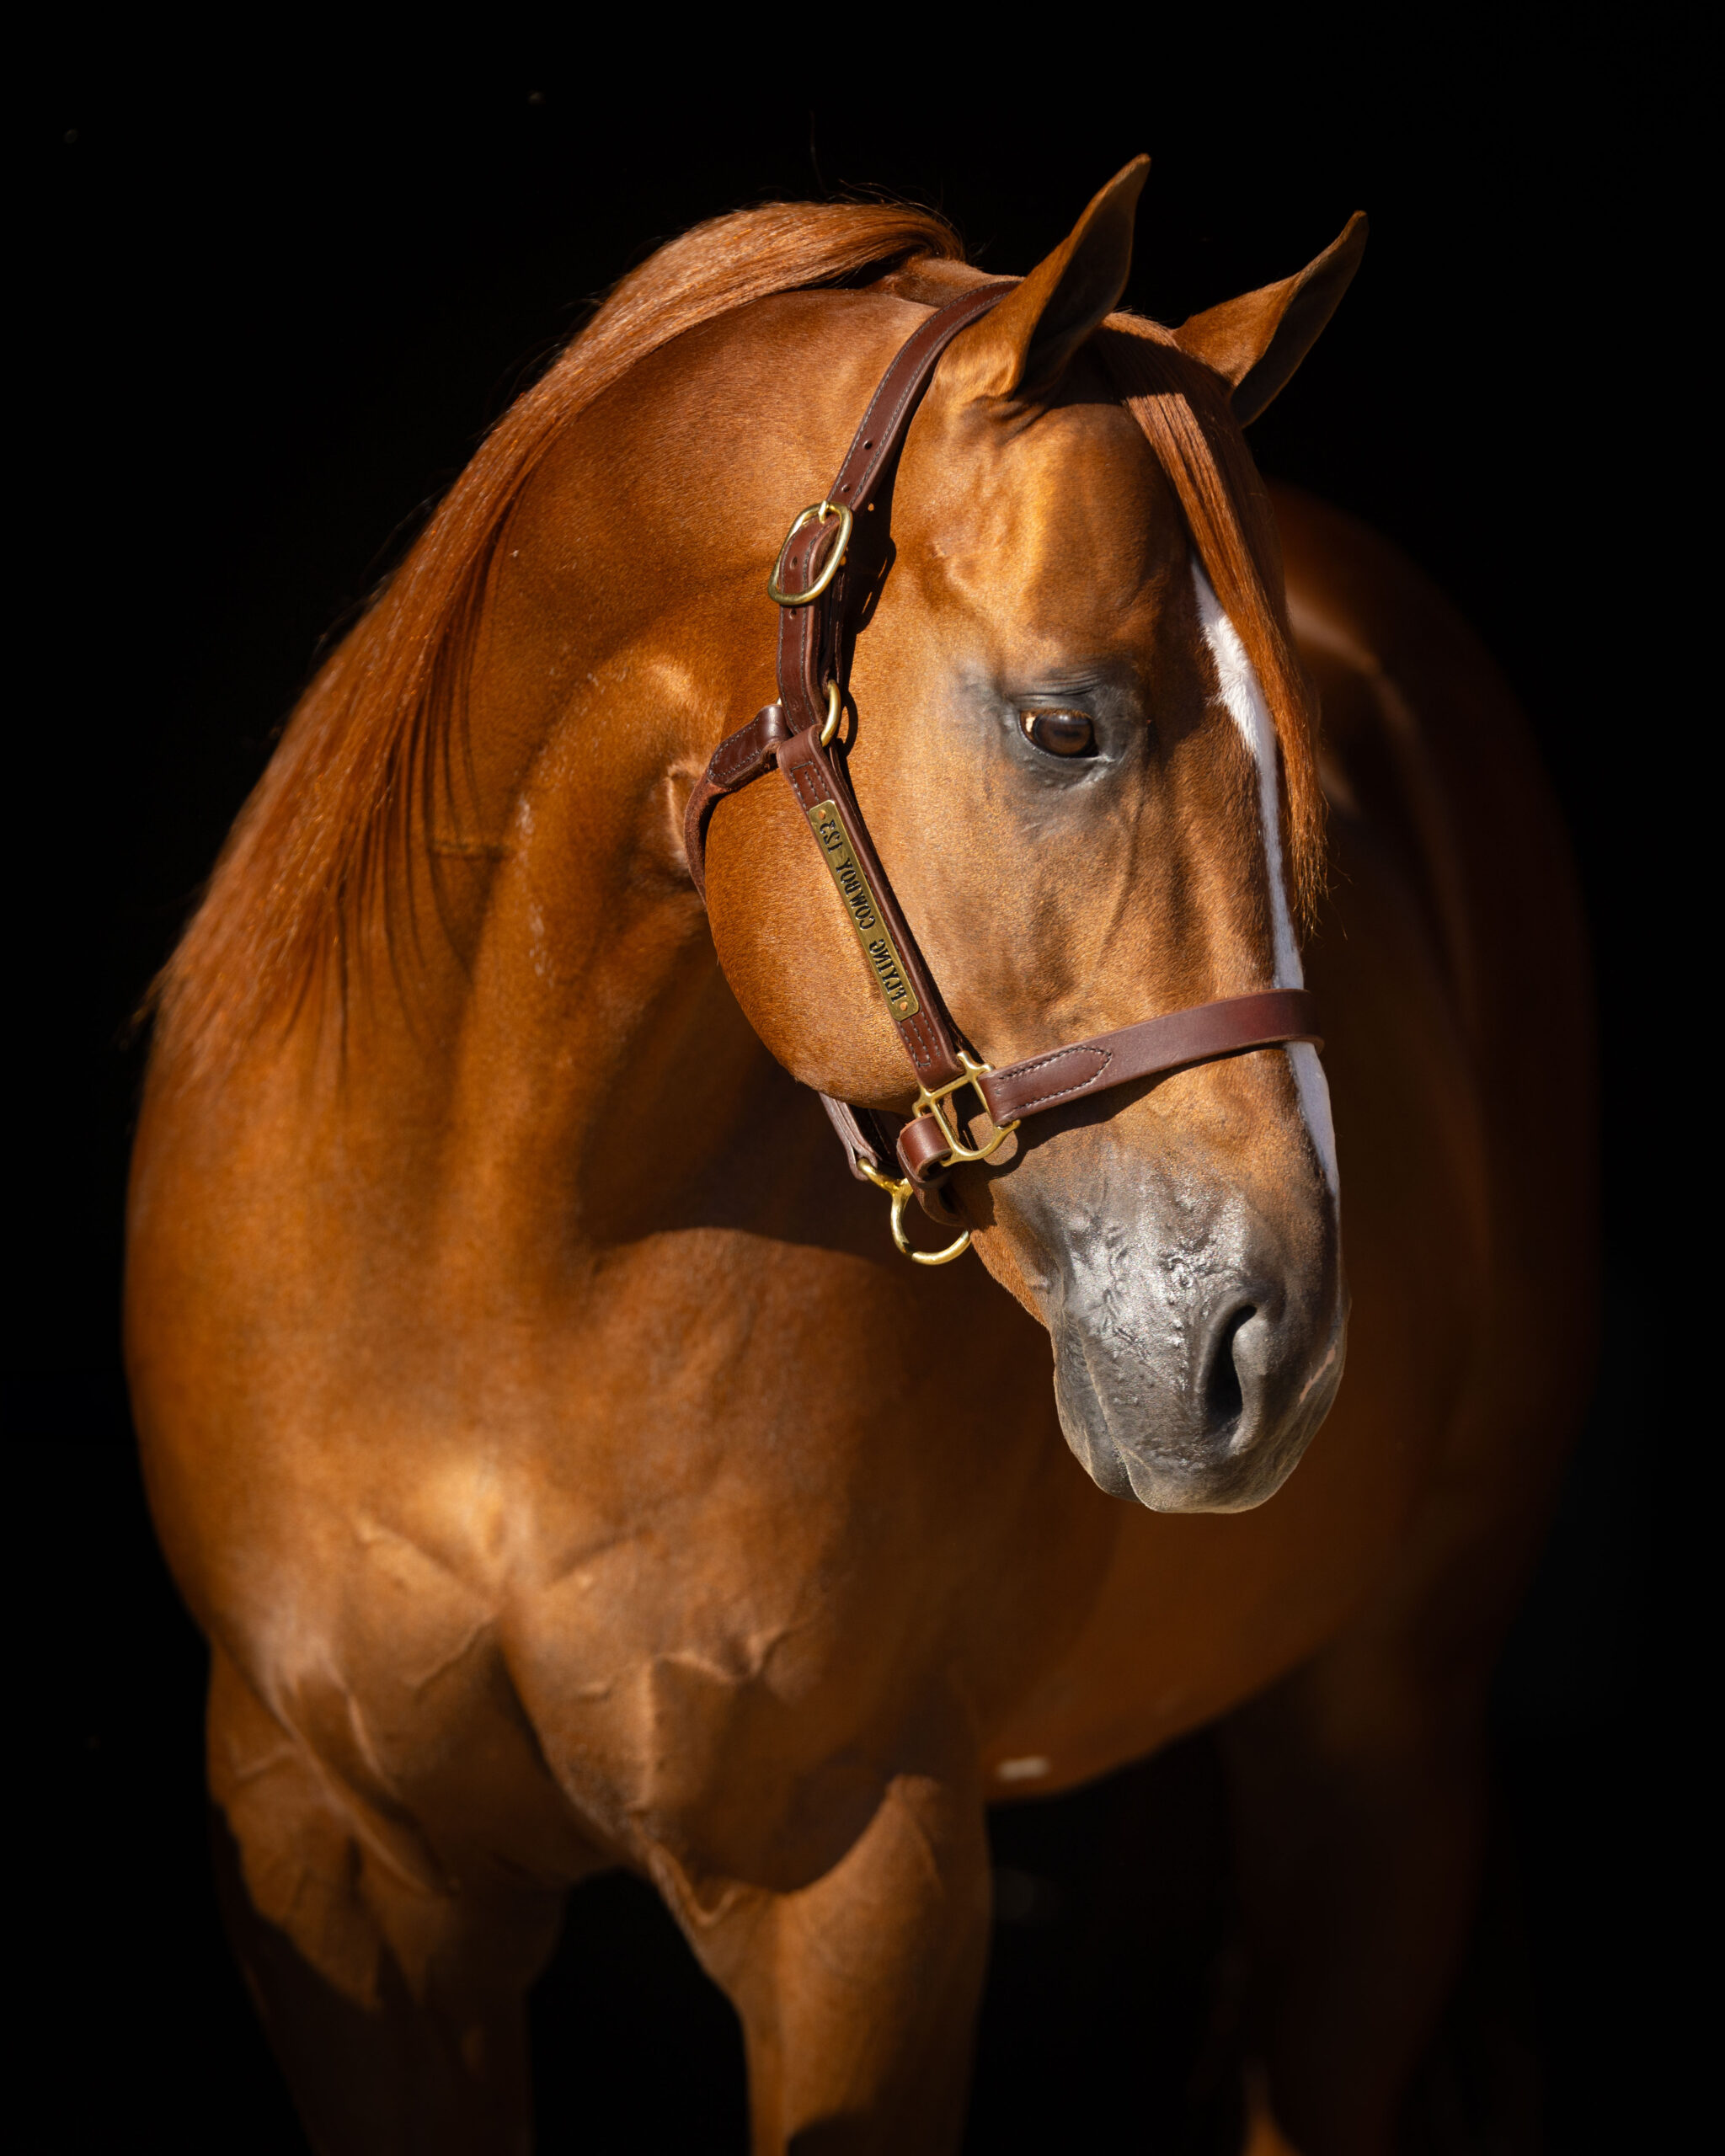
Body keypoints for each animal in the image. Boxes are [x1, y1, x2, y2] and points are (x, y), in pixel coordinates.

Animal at [124, 158, 1595, 2154]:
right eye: (1064, 721)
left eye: (1300, 768)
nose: (1273, 1352)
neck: (493, 1260)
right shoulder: (338, 1869)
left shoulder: (859, 1886)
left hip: (1379, 1751)